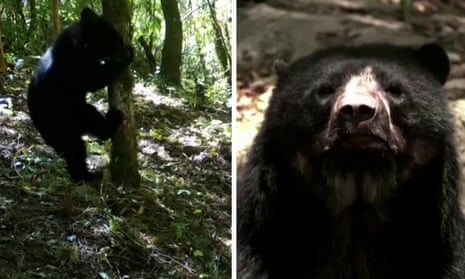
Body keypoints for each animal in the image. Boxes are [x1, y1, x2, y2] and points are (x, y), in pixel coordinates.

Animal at [27, 7, 133, 183]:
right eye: (111, 37)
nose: (122, 42)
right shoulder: (77, 69)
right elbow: (98, 79)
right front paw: (128, 54)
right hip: (69, 117)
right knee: (85, 133)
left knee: (73, 152)